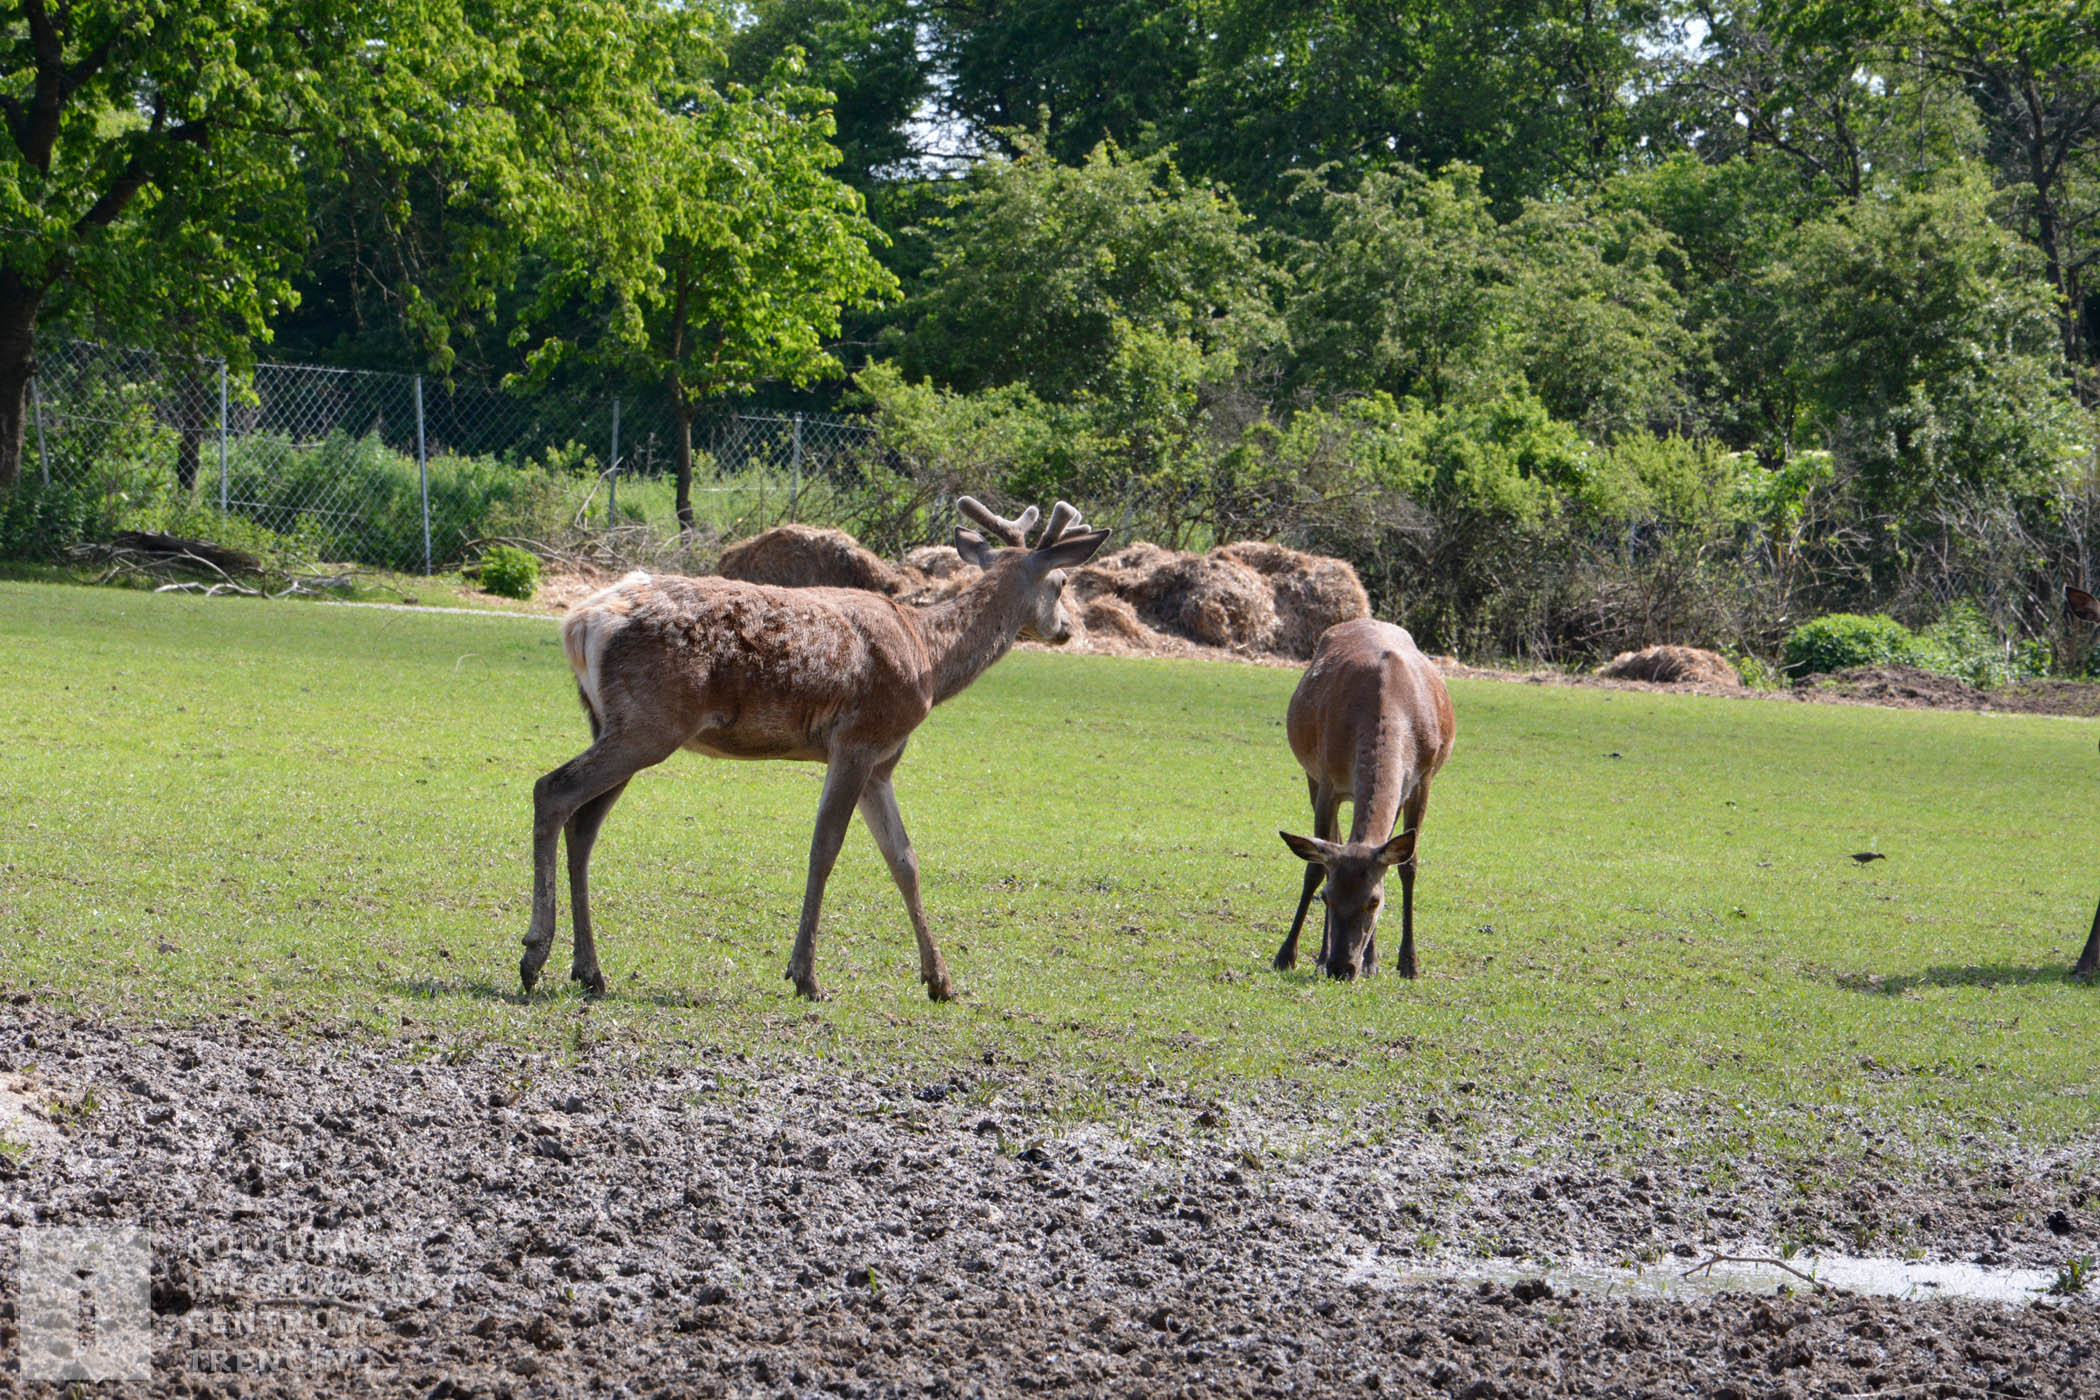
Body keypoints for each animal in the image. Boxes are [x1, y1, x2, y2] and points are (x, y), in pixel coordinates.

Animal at [521, 497, 1109, 1002]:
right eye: (1061, 582)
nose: (1067, 630)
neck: (929, 661)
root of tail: (579, 623)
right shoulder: (857, 740)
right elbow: (825, 849)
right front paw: (805, 976)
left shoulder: (882, 763)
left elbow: (905, 860)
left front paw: (940, 980)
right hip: (649, 721)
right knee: (552, 790)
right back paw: (534, 954)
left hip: (611, 721)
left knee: (584, 823)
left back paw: (589, 971)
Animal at [1273, 618, 1456, 980]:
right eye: (1327, 898)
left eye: (1374, 900)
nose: (1342, 968)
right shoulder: (1327, 780)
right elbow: (1315, 867)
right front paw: (1286, 956)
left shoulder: (1419, 781)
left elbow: (1406, 864)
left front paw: (1404, 963)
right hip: (1311, 775)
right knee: (1331, 841)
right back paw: (1320, 956)